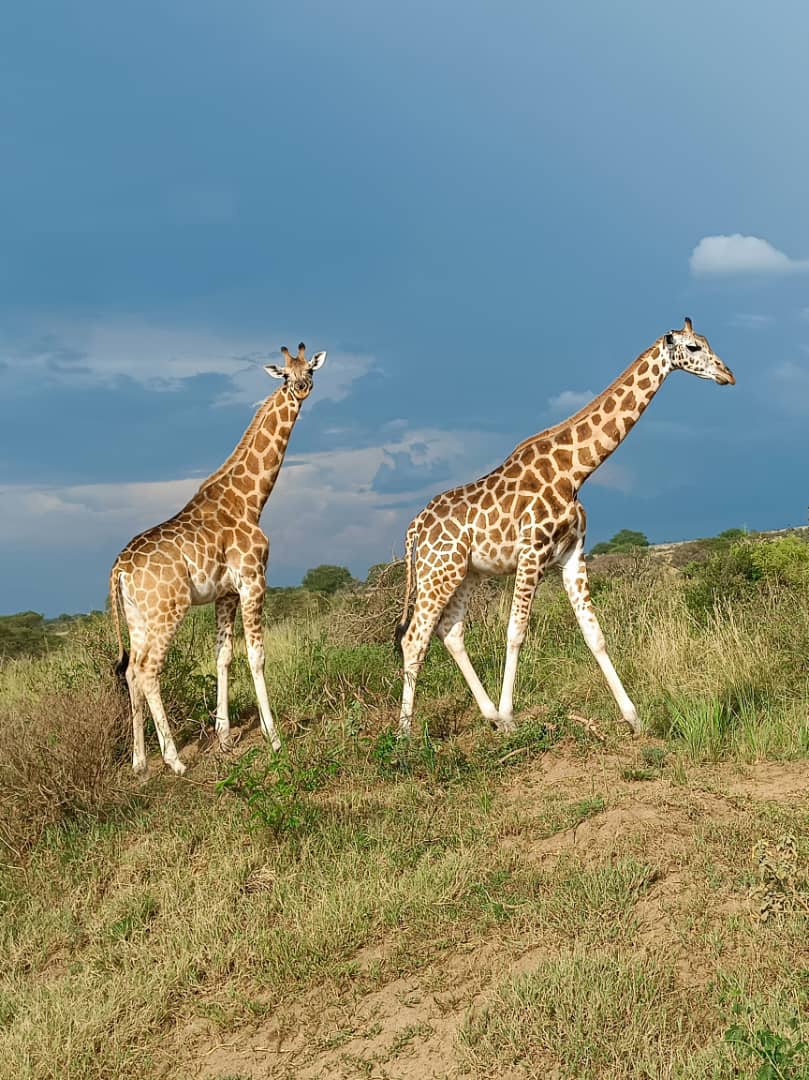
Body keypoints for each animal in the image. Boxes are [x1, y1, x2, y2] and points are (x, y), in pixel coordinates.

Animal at [109, 342, 327, 774]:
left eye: (309, 368)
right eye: (284, 375)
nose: (302, 387)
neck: (251, 500)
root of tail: (118, 569)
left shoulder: (225, 593)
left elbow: (223, 656)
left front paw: (225, 737)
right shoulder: (254, 580)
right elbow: (257, 656)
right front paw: (274, 739)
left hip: (137, 617)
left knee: (130, 671)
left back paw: (140, 763)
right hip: (167, 609)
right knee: (148, 670)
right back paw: (174, 760)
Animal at [395, 318, 735, 737]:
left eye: (705, 342)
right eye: (692, 347)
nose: (728, 374)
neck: (575, 472)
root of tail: (415, 527)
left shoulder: (572, 554)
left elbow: (595, 634)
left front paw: (633, 718)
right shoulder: (532, 552)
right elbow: (516, 632)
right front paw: (512, 716)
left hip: (466, 573)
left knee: (450, 631)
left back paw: (489, 716)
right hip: (436, 572)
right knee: (414, 638)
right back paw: (404, 734)